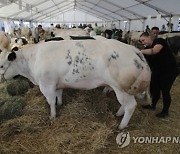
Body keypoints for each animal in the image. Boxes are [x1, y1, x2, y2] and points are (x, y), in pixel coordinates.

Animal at [0, 39, 150, 130]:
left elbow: (50, 101)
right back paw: (119, 114)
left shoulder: (46, 84)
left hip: (121, 88)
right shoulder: (57, 83)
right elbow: (58, 95)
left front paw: (52, 116)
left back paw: (121, 125)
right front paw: (60, 103)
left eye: (1, 65)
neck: (32, 60)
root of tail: (134, 50)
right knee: (126, 105)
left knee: (130, 106)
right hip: (127, 89)